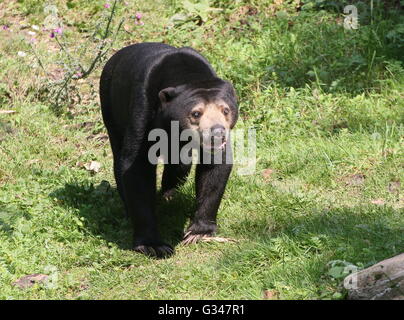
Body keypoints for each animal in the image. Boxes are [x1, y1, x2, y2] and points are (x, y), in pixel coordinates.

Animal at [100, 43, 238, 258]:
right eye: (196, 113)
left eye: (226, 110)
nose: (217, 133)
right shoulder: (143, 107)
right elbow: (136, 167)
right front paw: (153, 245)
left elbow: (215, 168)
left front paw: (197, 232)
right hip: (110, 105)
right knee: (119, 158)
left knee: (180, 163)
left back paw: (169, 195)